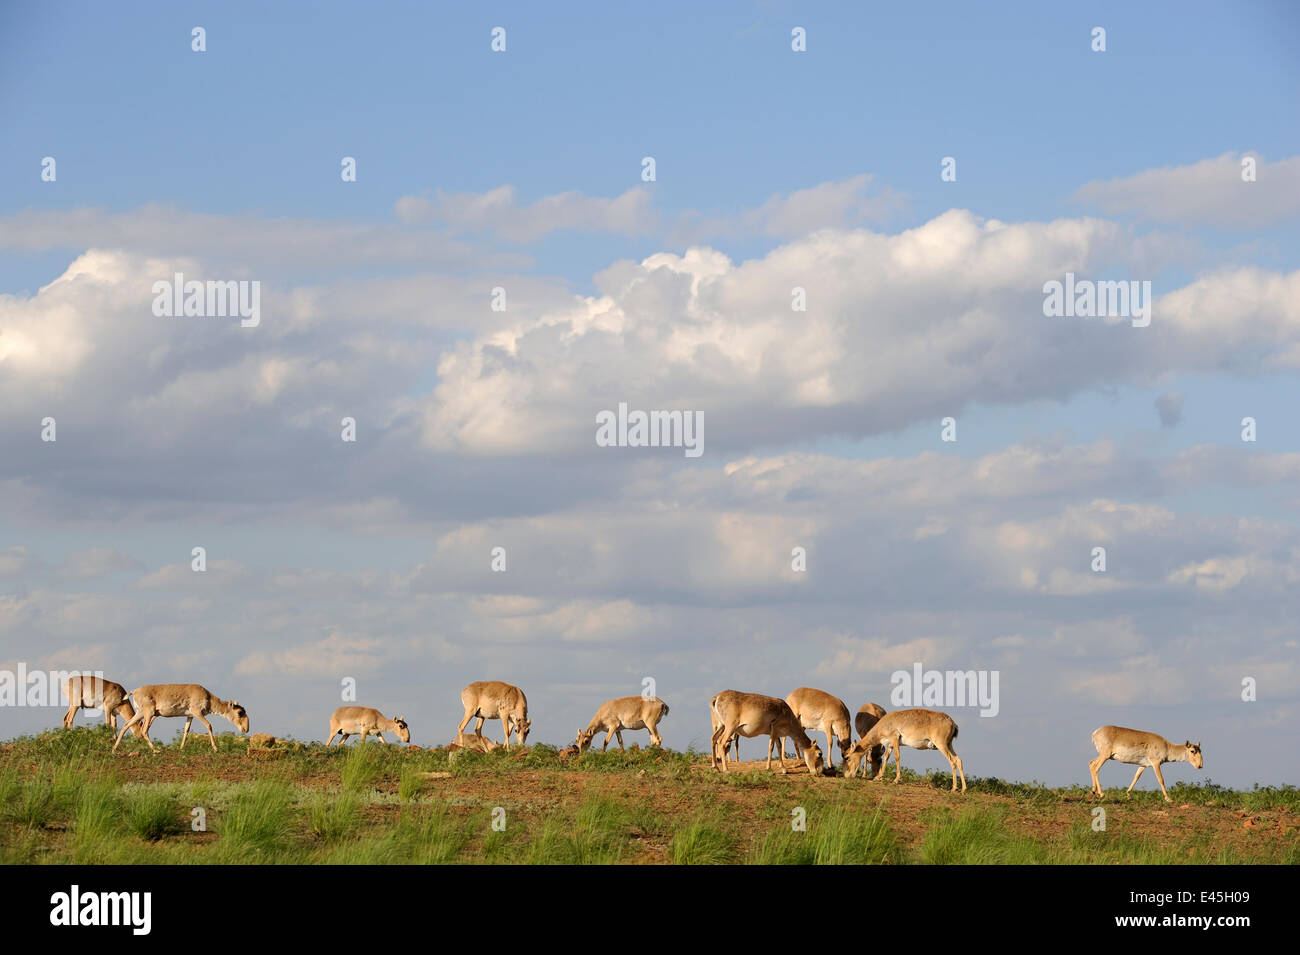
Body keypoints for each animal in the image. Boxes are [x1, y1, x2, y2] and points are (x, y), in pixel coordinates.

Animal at [113, 686, 249, 753]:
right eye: (240, 712)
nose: (246, 729)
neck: (209, 698)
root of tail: (135, 691)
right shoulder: (197, 712)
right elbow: (209, 725)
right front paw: (216, 748)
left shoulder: (190, 715)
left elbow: (186, 731)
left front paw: (181, 748)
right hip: (148, 713)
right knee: (143, 729)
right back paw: (156, 750)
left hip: (140, 713)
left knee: (126, 725)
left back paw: (114, 749)